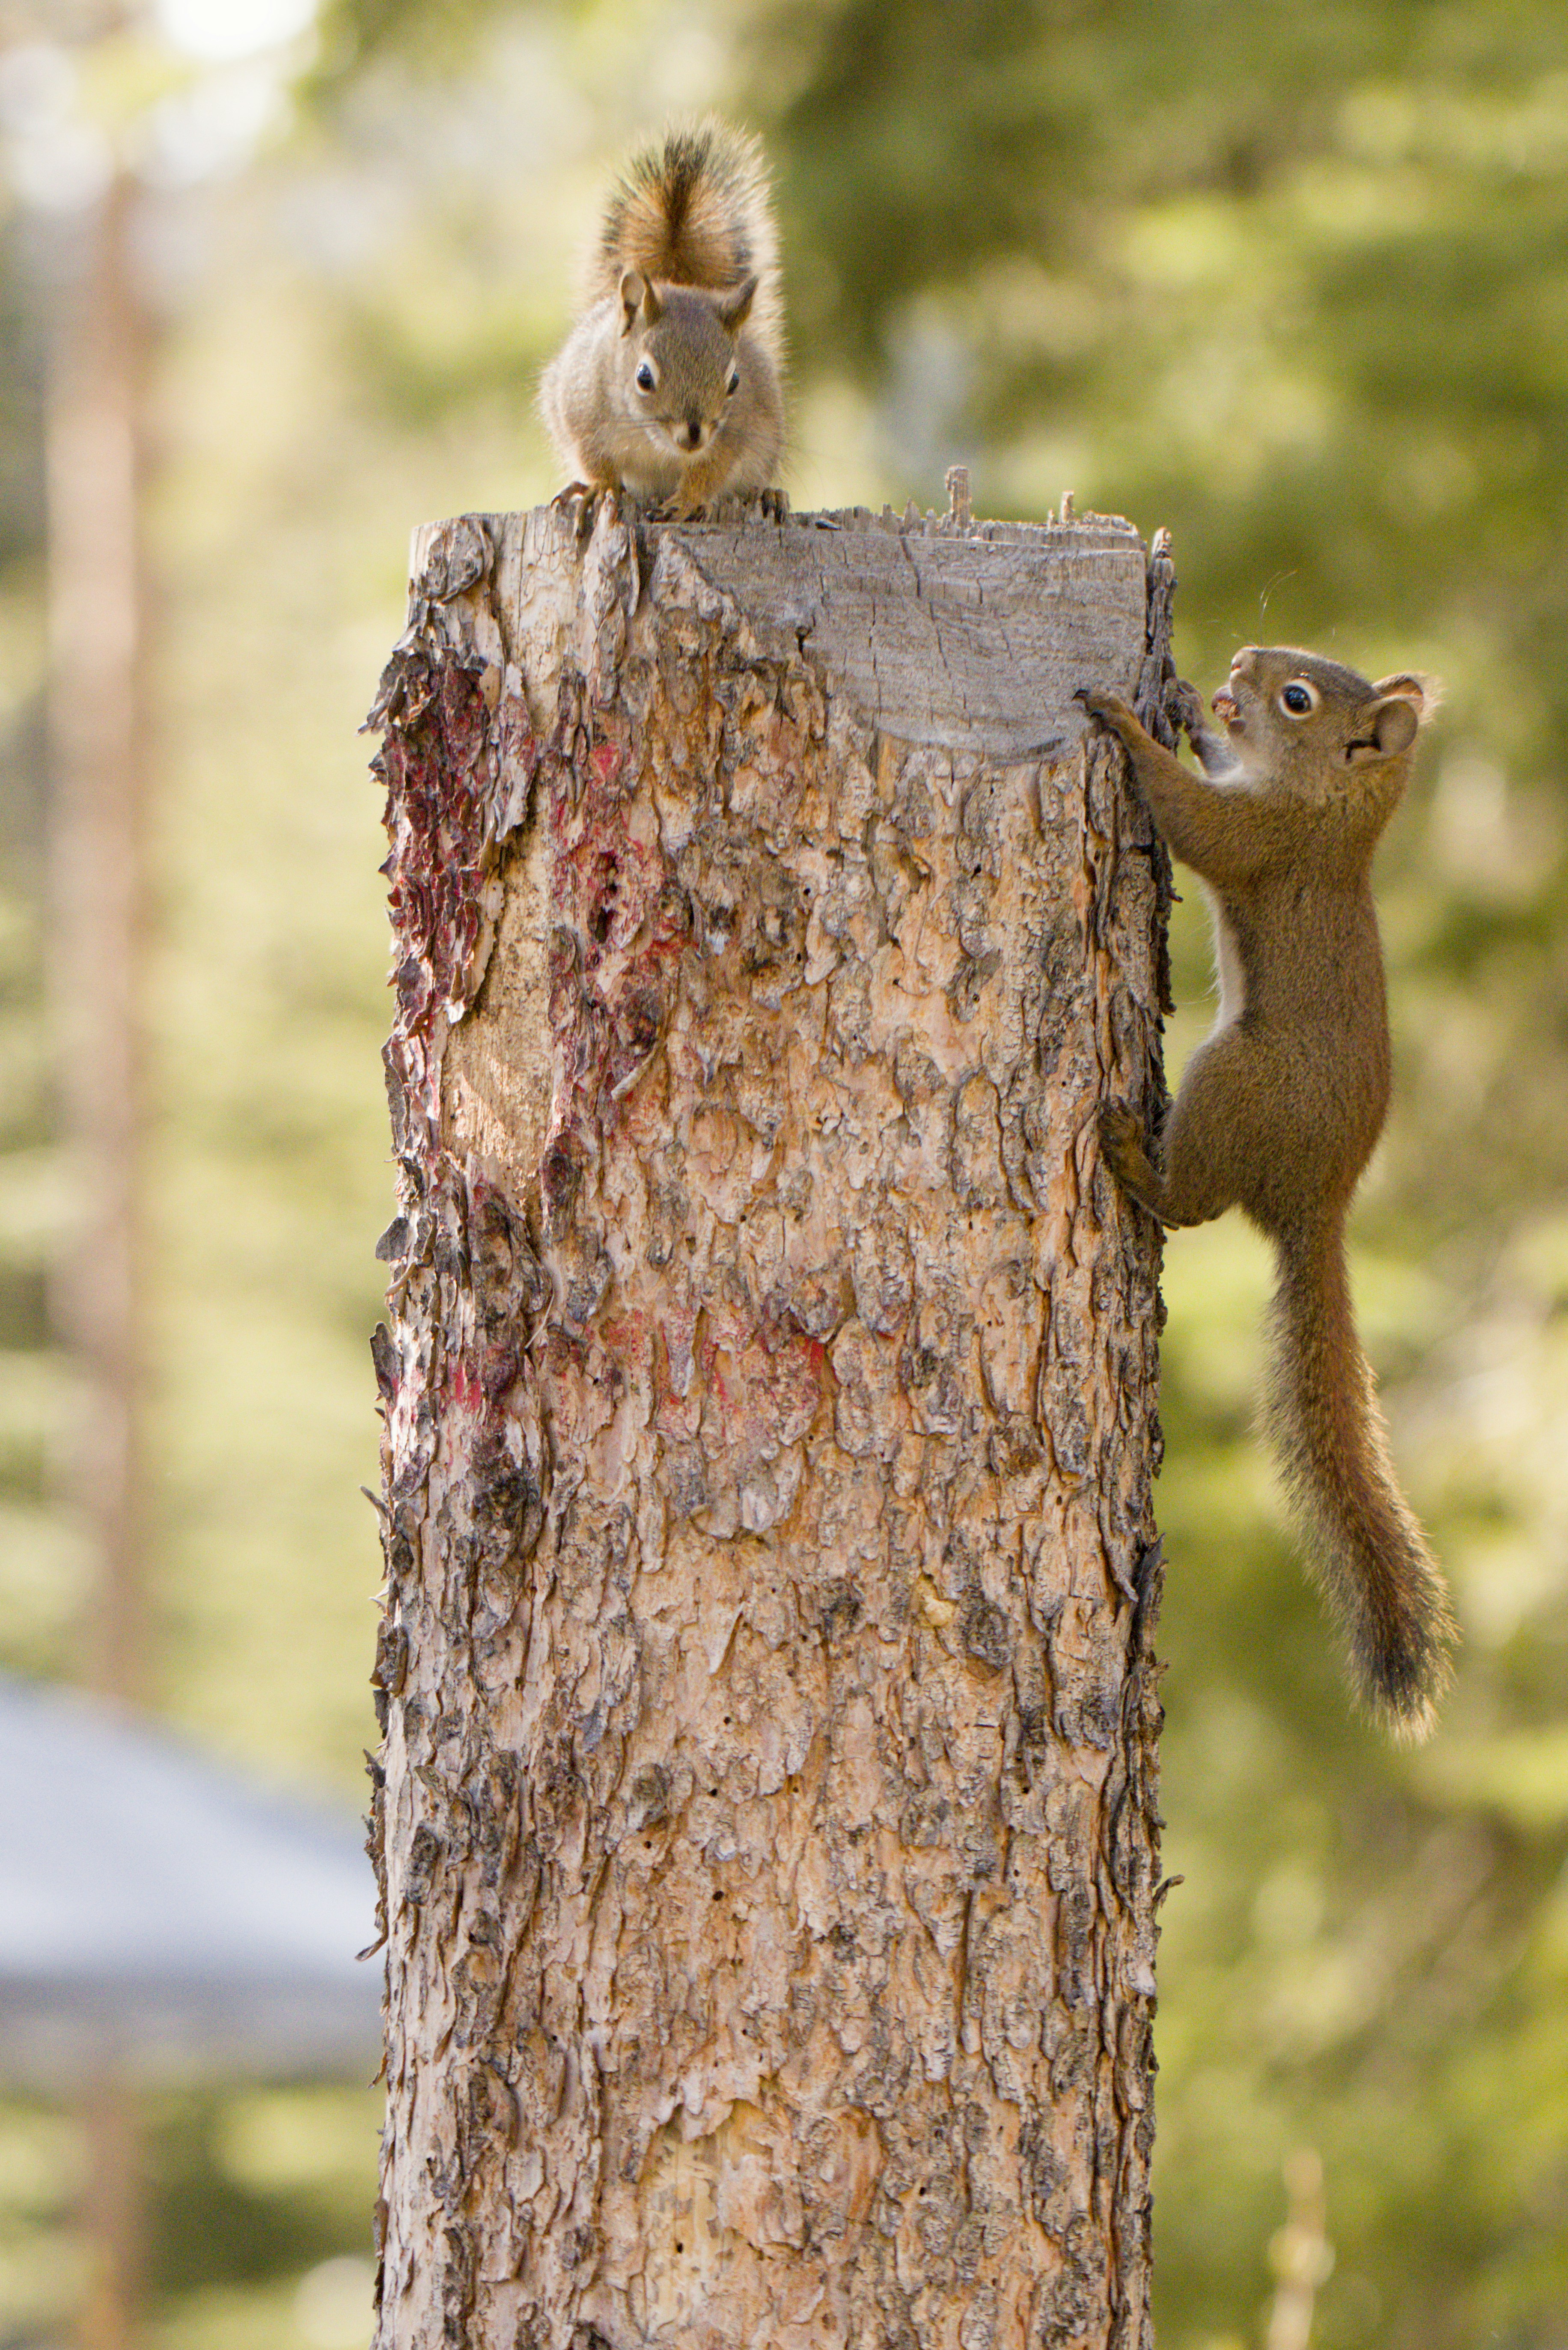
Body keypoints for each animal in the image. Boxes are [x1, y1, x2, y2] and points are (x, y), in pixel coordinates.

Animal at [540, 119, 785, 519]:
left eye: (734, 381)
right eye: (644, 377)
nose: (693, 435)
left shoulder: (736, 430)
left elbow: (712, 468)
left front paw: (688, 500)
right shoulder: (580, 405)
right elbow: (594, 458)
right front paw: (600, 487)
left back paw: (767, 495)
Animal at [1076, 647, 1457, 1740]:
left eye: (1299, 699)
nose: (1242, 664)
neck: (1331, 805)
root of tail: (1317, 1201)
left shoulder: (1263, 841)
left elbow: (1192, 821)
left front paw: (1127, 723)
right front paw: (1182, 704)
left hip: (1232, 1082)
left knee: (1193, 1205)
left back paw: (1132, 1158)